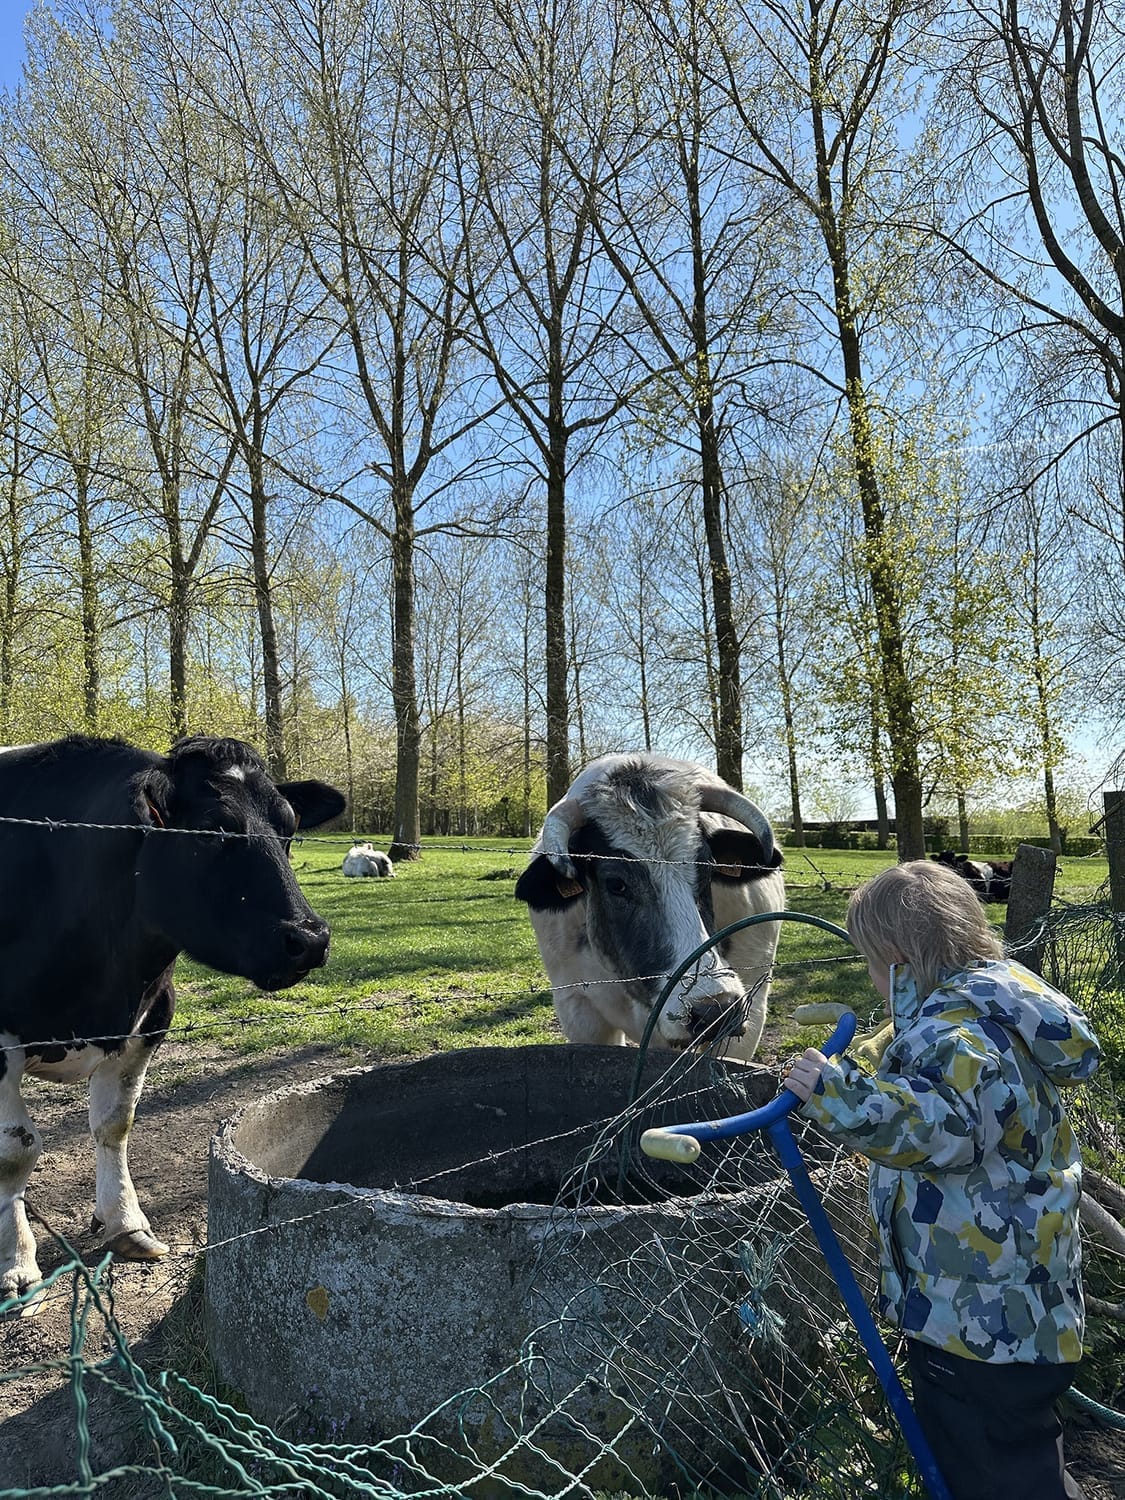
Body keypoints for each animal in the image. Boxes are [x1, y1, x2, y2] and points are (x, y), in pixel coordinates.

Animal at [0, 734, 345, 1311]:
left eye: (291, 828)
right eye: (210, 831)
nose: (310, 938)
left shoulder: (149, 1020)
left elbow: (115, 1125)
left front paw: (126, 1223)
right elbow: (15, 1150)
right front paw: (17, 1267)